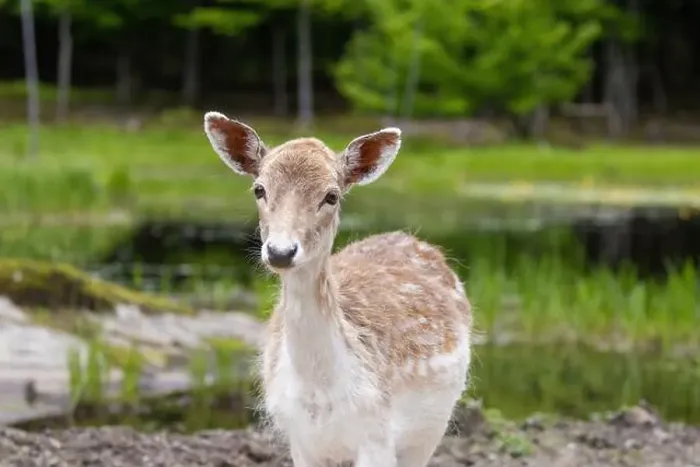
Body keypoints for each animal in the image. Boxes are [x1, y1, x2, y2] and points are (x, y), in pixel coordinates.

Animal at [203, 111, 473, 467]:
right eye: (259, 189)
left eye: (331, 195)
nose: (280, 251)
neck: (322, 398)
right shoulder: (300, 439)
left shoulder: (377, 435)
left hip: (431, 428)